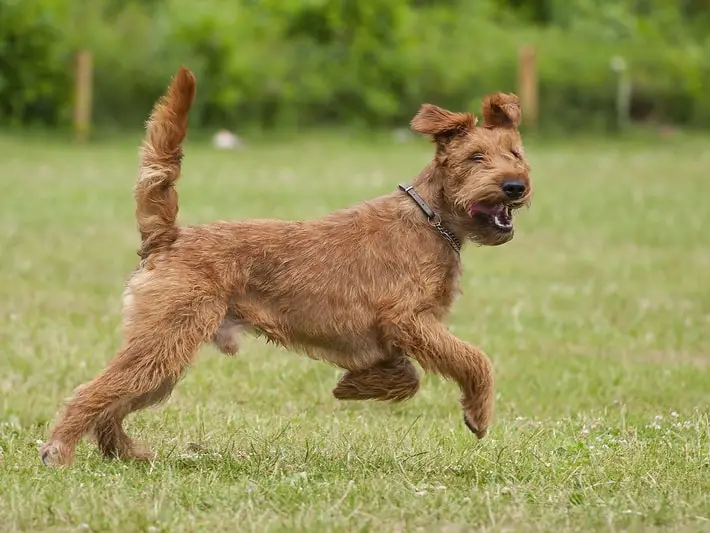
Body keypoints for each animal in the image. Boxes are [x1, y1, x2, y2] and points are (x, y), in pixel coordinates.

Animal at [37, 67, 528, 466]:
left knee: (114, 401)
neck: (431, 219)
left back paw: (124, 451)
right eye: (476, 158)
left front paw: (355, 386)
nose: (515, 186)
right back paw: (58, 450)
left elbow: (407, 375)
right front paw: (478, 414)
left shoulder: (399, 332)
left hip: (164, 353)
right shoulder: (408, 319)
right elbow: (474, 359)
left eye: (517, 154)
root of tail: (167, 237)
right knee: (93, 392)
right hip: (166, 339)